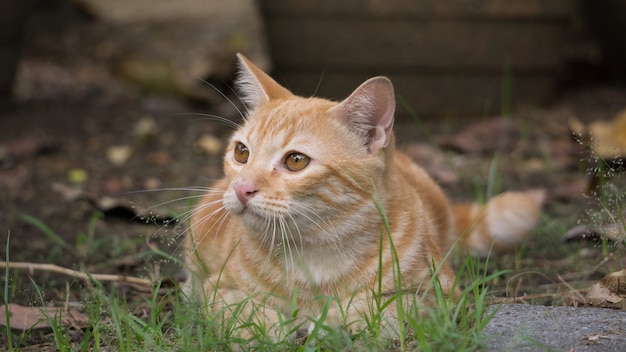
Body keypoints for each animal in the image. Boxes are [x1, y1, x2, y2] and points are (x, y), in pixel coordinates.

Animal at [182, 53, 540, 340]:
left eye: (296, 161)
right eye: (241, 153)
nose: (241, 188)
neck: (316, 251)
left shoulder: (442, 297)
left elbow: (384, 307)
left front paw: (331, 321)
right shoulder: (214, 290)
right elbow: (247, 312)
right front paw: (278, 327)